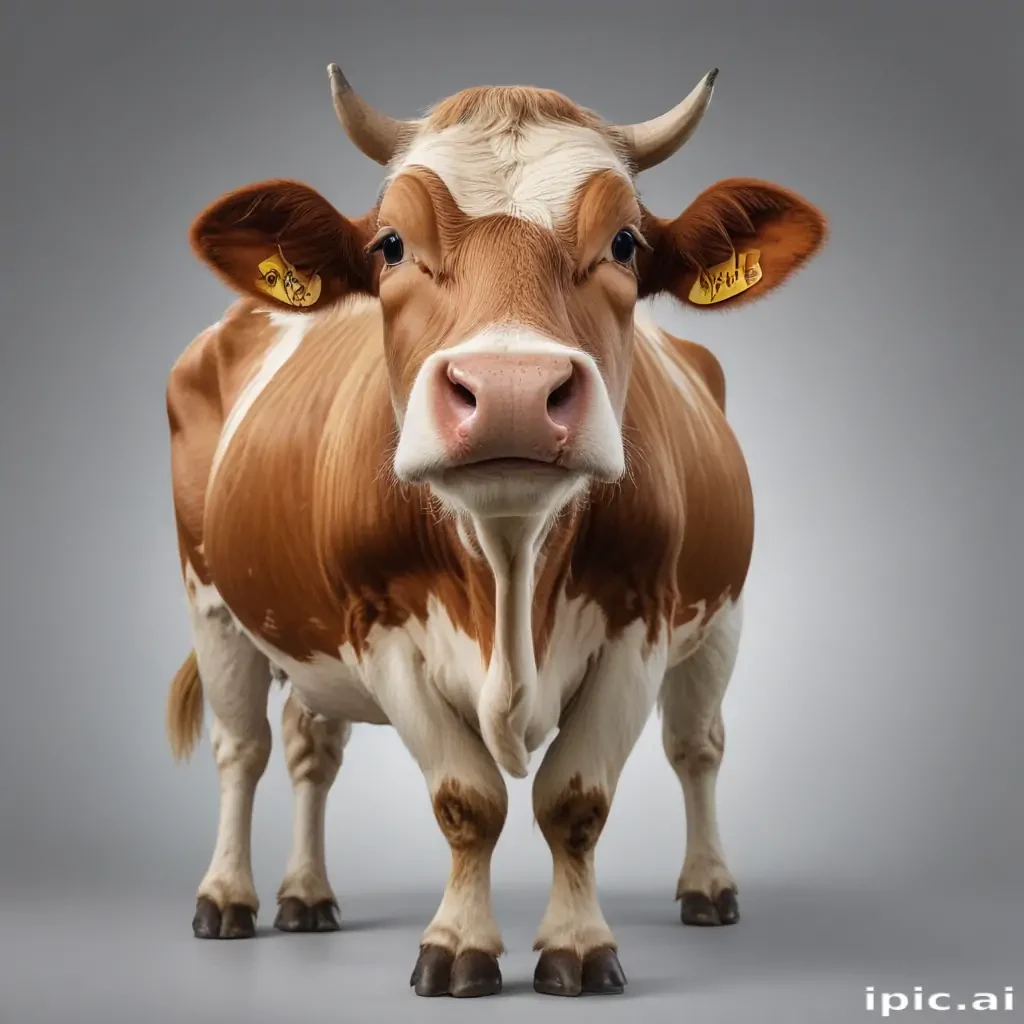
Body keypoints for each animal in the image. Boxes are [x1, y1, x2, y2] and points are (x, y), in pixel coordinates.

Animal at [165, 62, 827, 998]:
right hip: (215, 604)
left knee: (694, 747)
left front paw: (578, 947)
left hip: (719, 620)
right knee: (245, 749)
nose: (511, 390)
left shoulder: (643, 620)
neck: (510, 564)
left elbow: (575, 797)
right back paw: (230, 897)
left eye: (626, 243)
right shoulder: (382, 625)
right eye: (390, 245)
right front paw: (458, 947)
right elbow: (467, 799)